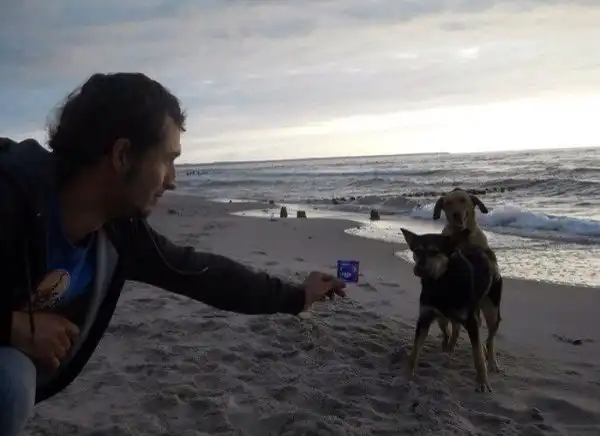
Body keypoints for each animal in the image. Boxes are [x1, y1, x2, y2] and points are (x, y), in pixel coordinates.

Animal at [400, 227, 502, 393]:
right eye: (416, 251)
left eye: (435, 252)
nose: (418, 269)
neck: (441, 282)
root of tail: (485, 250)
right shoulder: (425, 317)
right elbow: (414, 351)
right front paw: (406, 376)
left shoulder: (472, 322)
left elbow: (478, 356)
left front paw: (483, 382)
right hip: (443, 318)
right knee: (452, 329)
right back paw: (449, 349)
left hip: (492, 310)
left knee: (490, 338)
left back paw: (492, 362)